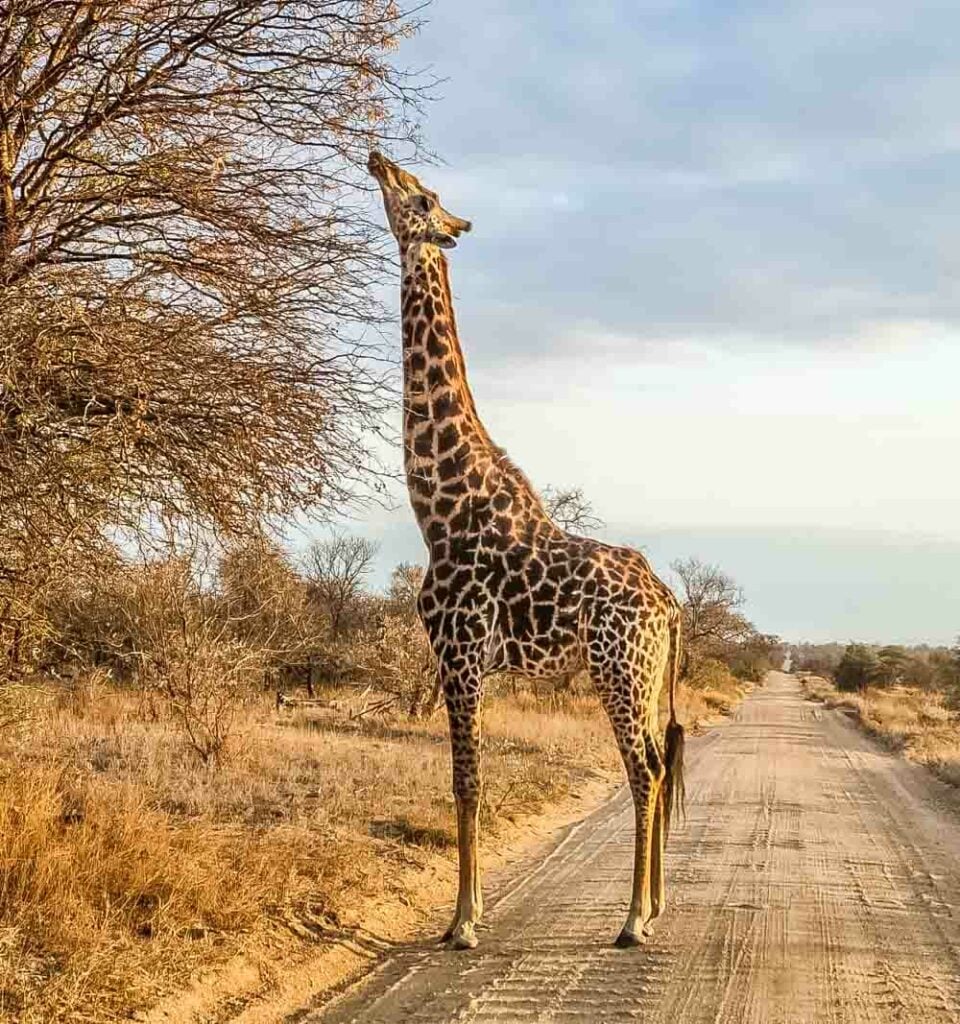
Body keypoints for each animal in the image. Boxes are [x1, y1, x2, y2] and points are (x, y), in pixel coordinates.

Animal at [364, 151, 679, 950]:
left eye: (421, 197)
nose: (377, 156)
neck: (440, 509)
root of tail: (671, 605)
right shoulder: (467, 661)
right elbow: (469, 780)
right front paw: (469, 913)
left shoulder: (460, 652)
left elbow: (466, 781)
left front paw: (462, 923)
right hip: (644, 677)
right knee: (662, 764)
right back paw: (657, 905)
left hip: (617, 671)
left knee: (645, 771)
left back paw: (633, 920)